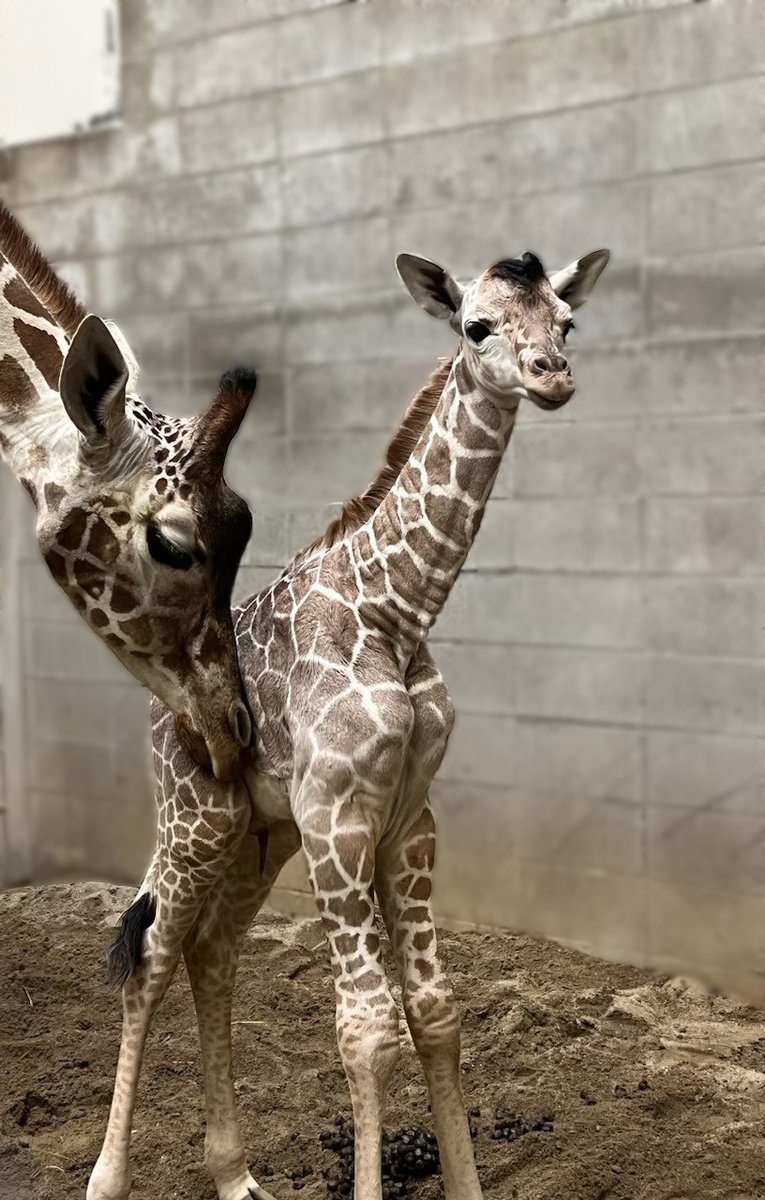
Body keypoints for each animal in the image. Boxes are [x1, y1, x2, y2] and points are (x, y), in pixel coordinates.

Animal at [88, 245, 610, 1200]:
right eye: (476, 326)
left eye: (566, 321)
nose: (551, 375)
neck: (396, 611)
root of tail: (155, 708)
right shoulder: (339, 817)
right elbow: (366, 1030)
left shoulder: (406, 817)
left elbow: (434, 1013)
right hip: (195, 819)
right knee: (150, 956)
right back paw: (106, 1180)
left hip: (258, 835)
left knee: (212, 952)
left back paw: (235, 1175)